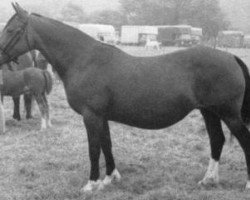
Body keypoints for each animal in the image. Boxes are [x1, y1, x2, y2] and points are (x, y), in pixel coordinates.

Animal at [0, 3, 250, 193]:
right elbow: (107, 145)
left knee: (243, 140)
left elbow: (94, 149)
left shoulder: (91, 116)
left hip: (228, 114)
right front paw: (110, 178)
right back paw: (208, 180)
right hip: (210, 112)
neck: (84, 59)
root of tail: (230, 57)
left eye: (11, 30)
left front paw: (91, 183)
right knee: (217, 140)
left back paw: (246, 184)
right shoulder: (102, 117)